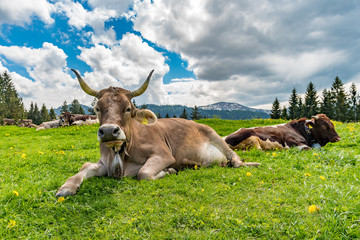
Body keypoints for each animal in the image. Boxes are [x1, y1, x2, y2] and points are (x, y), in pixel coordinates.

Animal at [55, 69, 258, 197]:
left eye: (128, 109)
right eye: (97, 108)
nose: (108, 131)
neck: (122, 154)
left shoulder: (163, 154)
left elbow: (143, 174)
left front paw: (168, 171)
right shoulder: (104, 163)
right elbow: (84, 168)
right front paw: (67, 187)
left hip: (215, 135)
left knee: (235, 159)